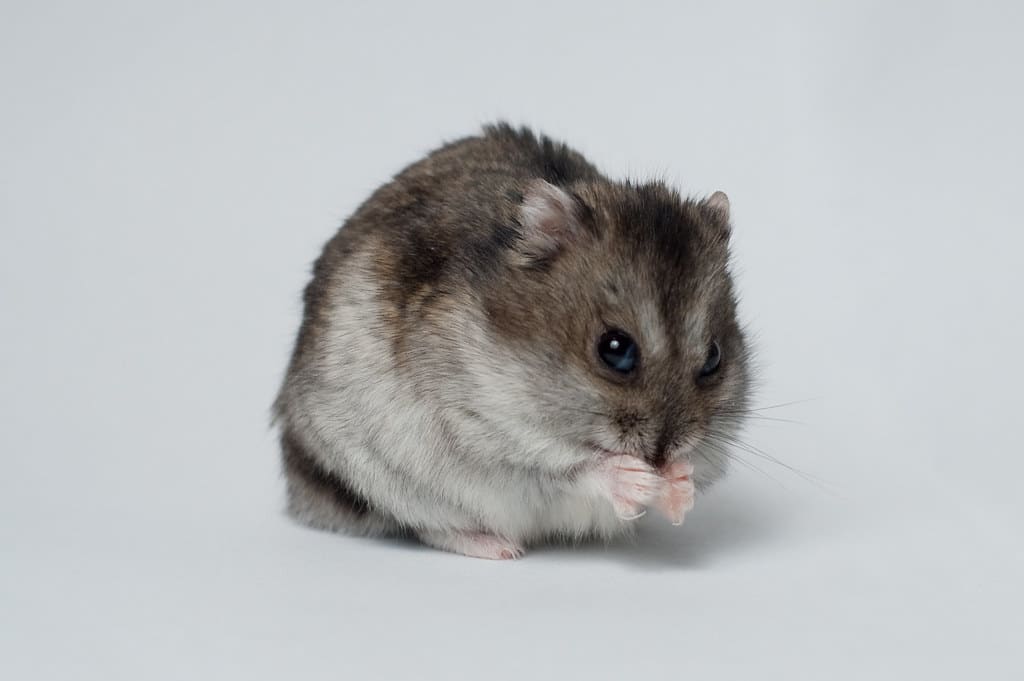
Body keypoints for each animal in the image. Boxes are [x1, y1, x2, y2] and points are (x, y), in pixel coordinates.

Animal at [273, 123, 752, 559]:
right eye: (615, 350)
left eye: (714, 358)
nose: (662, 455)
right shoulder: (487, 436)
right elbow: (575, 470)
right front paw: (636, 478)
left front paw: (677, 484)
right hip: (384, 477)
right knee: (426, 525)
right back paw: (500, 548)